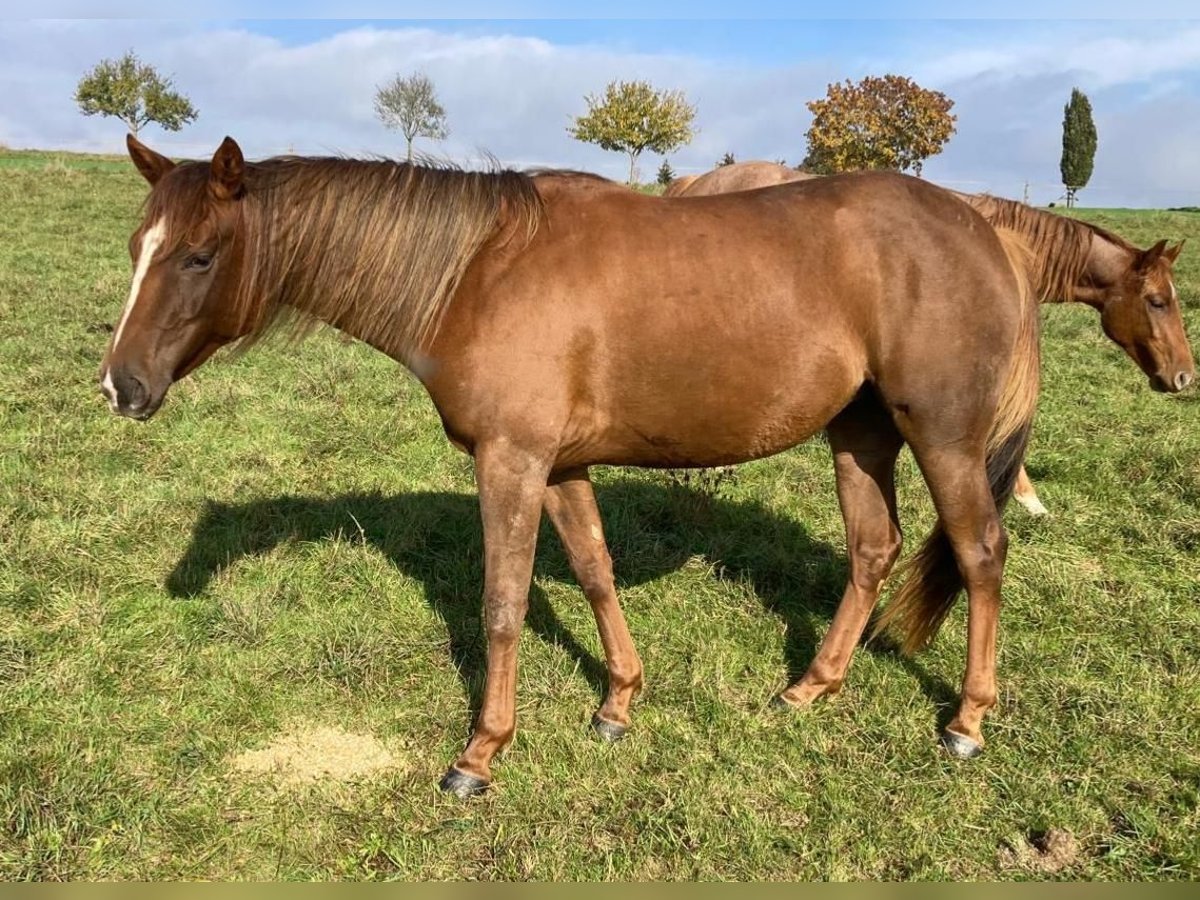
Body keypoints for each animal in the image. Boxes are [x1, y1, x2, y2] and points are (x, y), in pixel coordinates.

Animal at [103, 133, 1046, 796]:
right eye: (135, 246)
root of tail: (984, 229)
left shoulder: (510, 464)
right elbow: (595, 571)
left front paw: (480, 755)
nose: (120, 385)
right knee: (872, 549)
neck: (477, 273)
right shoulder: (557, 468)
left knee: (980, 554)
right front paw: (618, 702)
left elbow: (503, 606)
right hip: (861, 434)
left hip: (944, 439)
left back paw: (967, 720)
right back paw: (811, 687)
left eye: (199, 254)